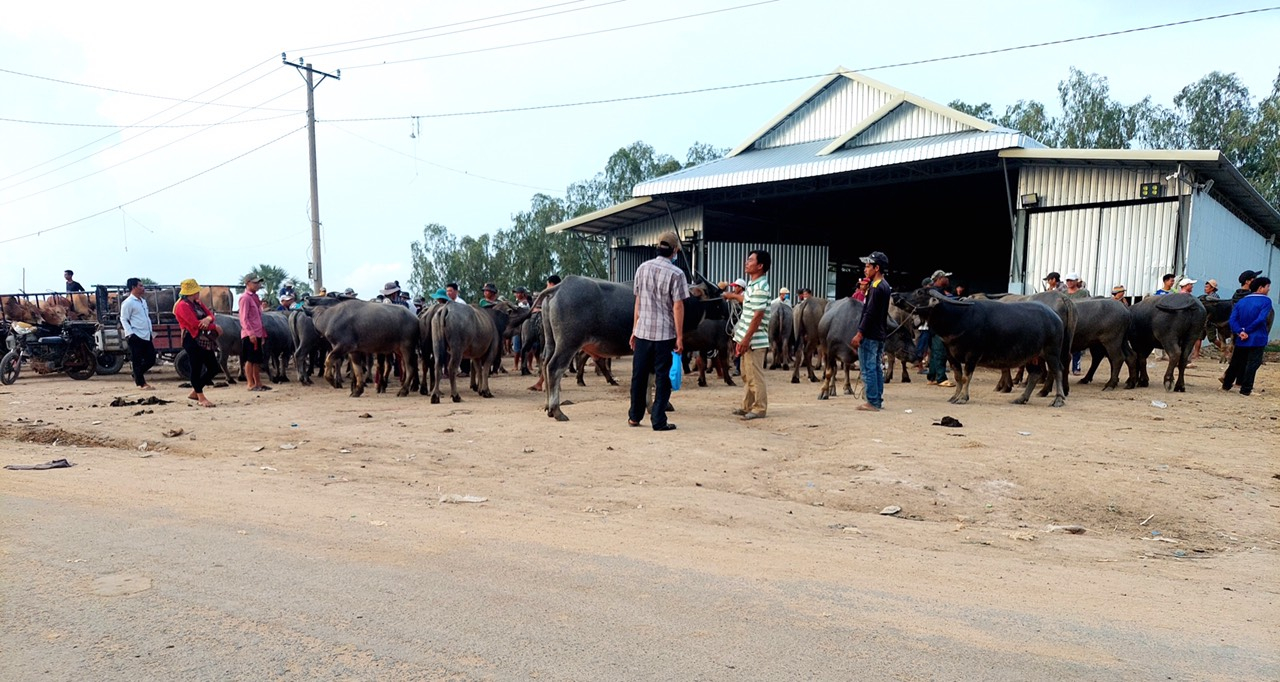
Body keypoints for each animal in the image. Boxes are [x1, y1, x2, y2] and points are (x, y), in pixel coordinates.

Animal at [901, 290, 1070, 406]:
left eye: (919, 292)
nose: (897, 296)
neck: (959, 318)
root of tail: (1055, 317)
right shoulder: (951, 355)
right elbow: (958, 377)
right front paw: (954, 396)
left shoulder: (972, 355)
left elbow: (966, 377)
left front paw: (963, 398)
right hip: (1032, 355)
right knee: (1035, 373)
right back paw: (1021, 398)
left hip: (1052, 352)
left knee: (1057, 370)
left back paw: (1058, 399)